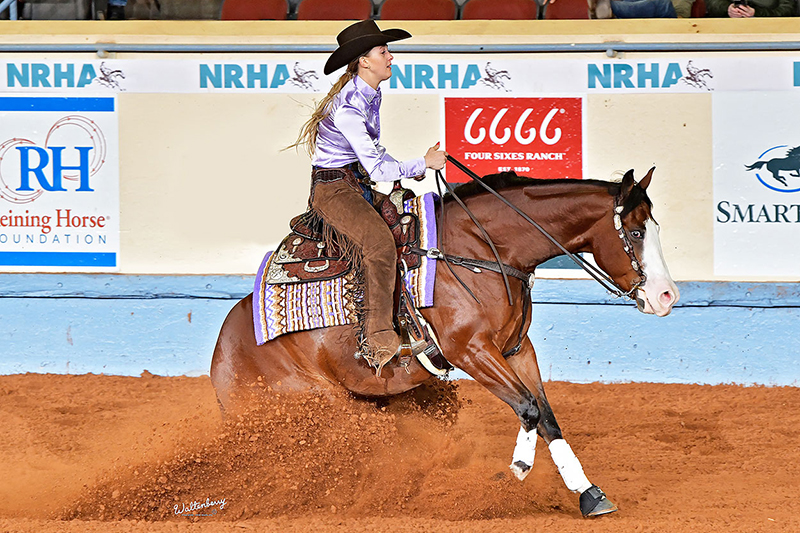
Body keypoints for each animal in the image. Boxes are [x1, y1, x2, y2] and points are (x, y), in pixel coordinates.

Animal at [209, 166, 680, 516]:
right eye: (636, 233)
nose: (667, 295)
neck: (482, 251)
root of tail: (222, 355)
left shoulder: (516, 349)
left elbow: (545, 415)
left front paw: (588, 494)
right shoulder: (472, 351)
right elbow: (527, 407)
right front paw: (516, 470)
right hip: (313, 405)